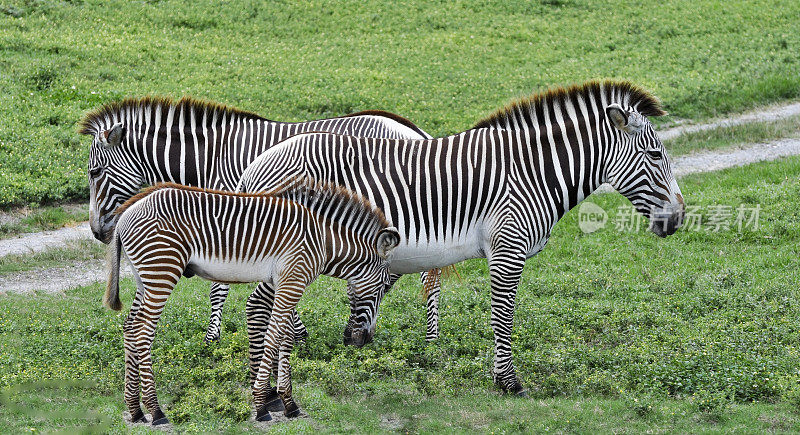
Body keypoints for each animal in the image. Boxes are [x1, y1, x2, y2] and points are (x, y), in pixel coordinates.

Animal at [77, 97, 444, 346]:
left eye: (95, 172)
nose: (96, 232)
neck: (210, 158)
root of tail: (416, 131)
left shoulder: (229, 217)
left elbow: (220, 286)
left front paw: (213, 337)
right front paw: (296, 332)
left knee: (428, 272)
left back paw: (430, 340)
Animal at [103, 177, 400, 426]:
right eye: (385, 286)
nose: (364, 340)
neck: (324, 241)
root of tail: (126, 213)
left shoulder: (285, 282)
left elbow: (285, 338)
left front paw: (289, 403)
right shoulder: (293, 281)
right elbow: (274, 336)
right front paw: (261, 405)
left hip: (145, 277)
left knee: (129, 328)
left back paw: (135, 410)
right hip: (162, 271)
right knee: (142, 332)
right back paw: (156, 411)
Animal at [239, 79, 688, 396]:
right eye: (655, 155)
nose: (679, 218)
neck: (532, 172)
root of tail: (258, 163)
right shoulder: (508, 247)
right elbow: (503, 316)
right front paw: (508, 382)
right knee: (259, 304)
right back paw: (262, 383)